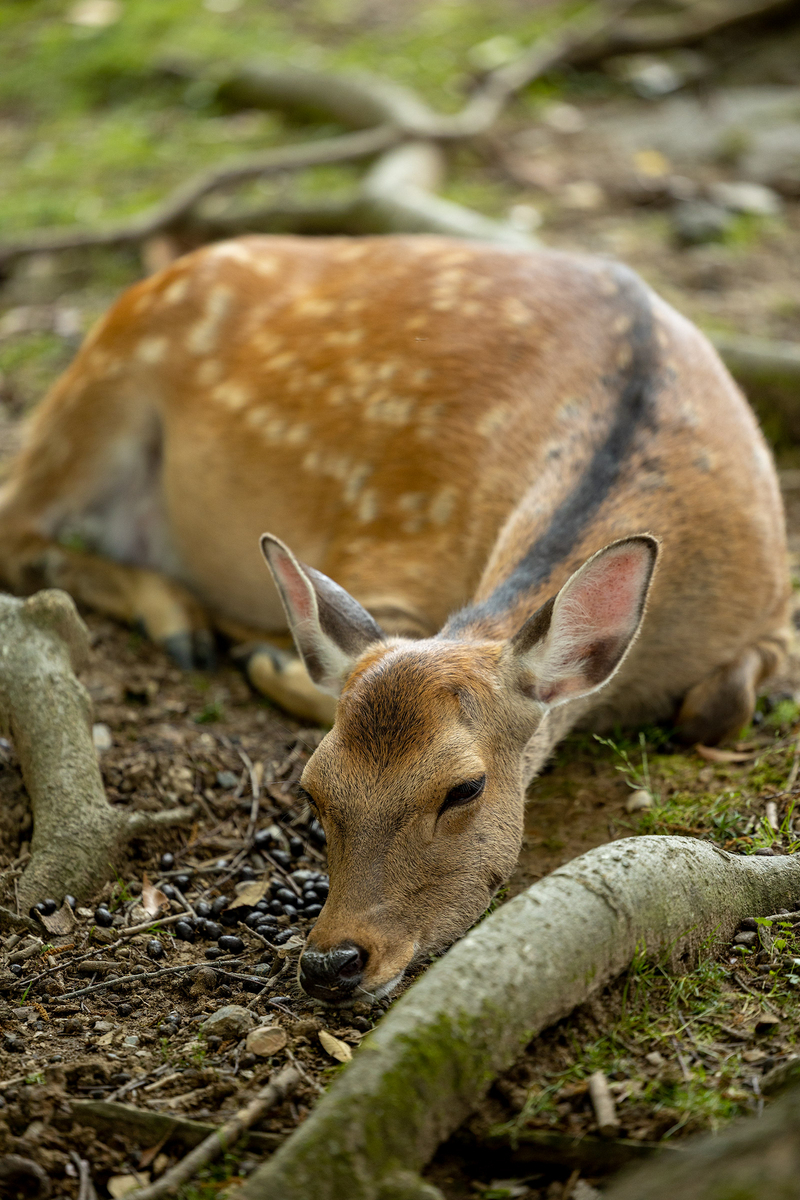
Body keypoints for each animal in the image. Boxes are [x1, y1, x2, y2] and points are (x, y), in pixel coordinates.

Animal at [0, 234, 786, 1003]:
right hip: (97, 388)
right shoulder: (390, 545)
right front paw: (265, 656)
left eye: (464, 788)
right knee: (21, 532)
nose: (333, 963)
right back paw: (183, 621)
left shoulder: (780, 618)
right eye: (314, 787)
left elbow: (717, 707)